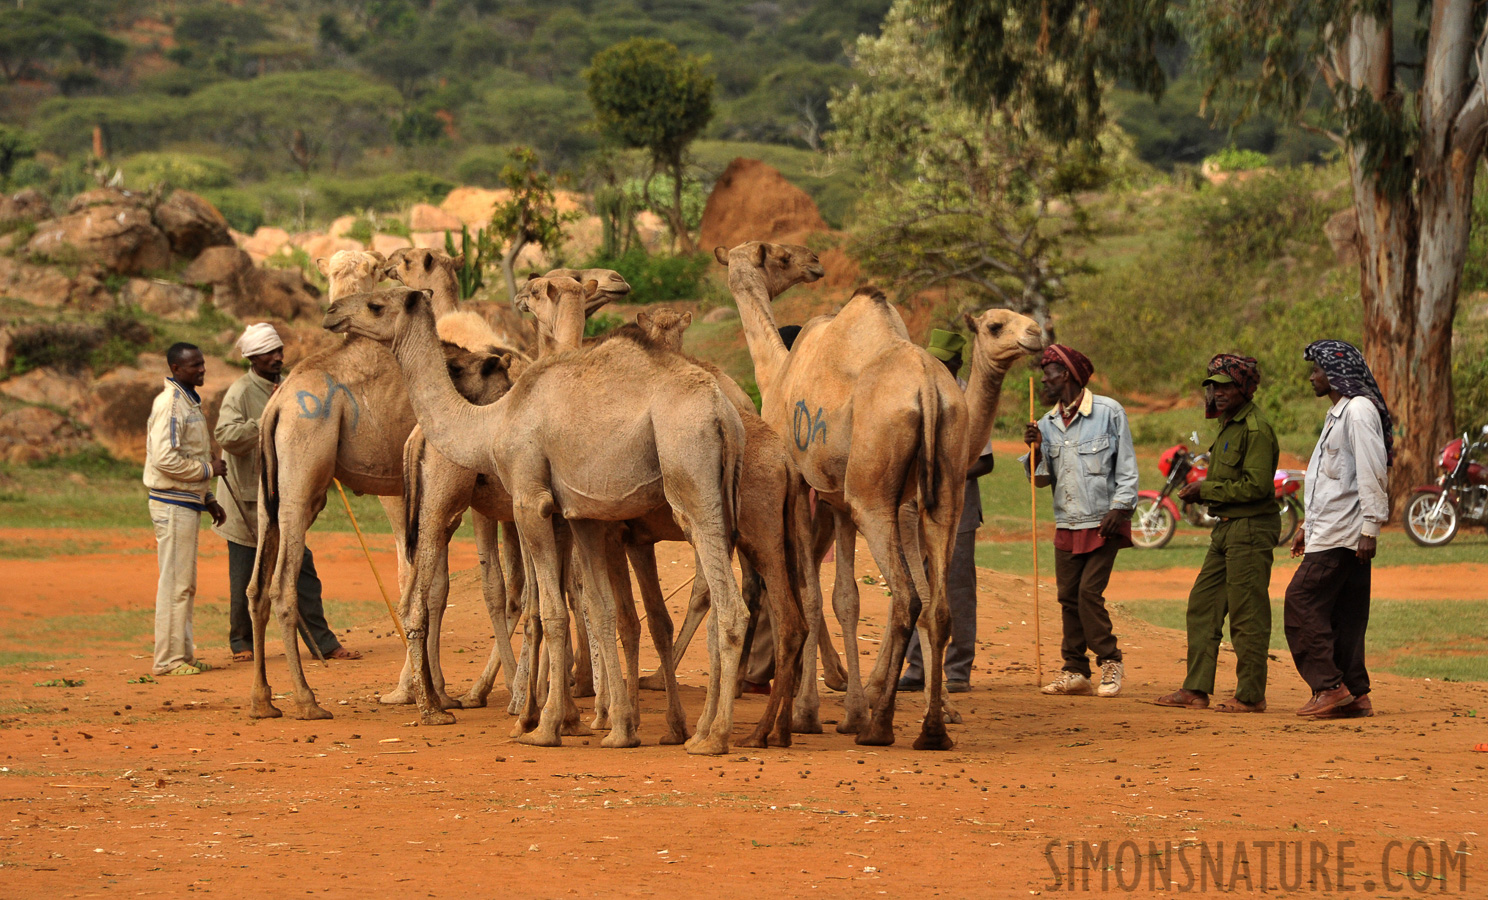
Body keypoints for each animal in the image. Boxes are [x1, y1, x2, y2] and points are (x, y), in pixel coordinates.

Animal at [319, 282, 749, 749]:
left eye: (376, 304)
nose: (331, 313)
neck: (493, 420)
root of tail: (726, 415)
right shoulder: (579, 515)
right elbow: (599, 611)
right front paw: (616, 728)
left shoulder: (529, 499)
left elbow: (551, 612)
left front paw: (544, 726)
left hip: (692, 479)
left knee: (730, 606)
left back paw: (713, 737)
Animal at [711, 242, 1041, 746]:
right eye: (783, 257)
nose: (814, 262)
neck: (779, 373)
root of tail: (929, 388)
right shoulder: (839, 501)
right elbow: (845, 598)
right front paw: (848, 709)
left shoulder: (805, 486)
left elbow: (814, 596)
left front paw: (810, 714)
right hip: (940, 496)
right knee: (937, 606)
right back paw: (929, 728)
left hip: (874, 500)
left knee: (907, 599)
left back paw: (880, 724)